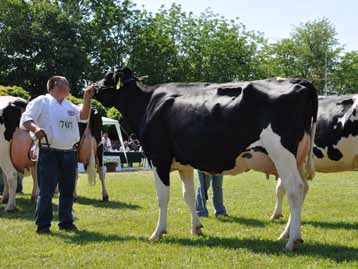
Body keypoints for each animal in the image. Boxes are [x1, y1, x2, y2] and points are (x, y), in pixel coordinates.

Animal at [93, 68, 318, 250]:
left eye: (107, 77)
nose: (92, 87)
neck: (147, 103)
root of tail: (300, 82)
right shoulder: (184, 164)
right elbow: (189, 195)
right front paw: (196, 228)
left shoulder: (158, 158)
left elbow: (162, 197)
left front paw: (157, 232)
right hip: (297, 158)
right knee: (303, 188)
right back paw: (287, 234)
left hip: (282, 154)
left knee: (294, 189)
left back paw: (292, 241)